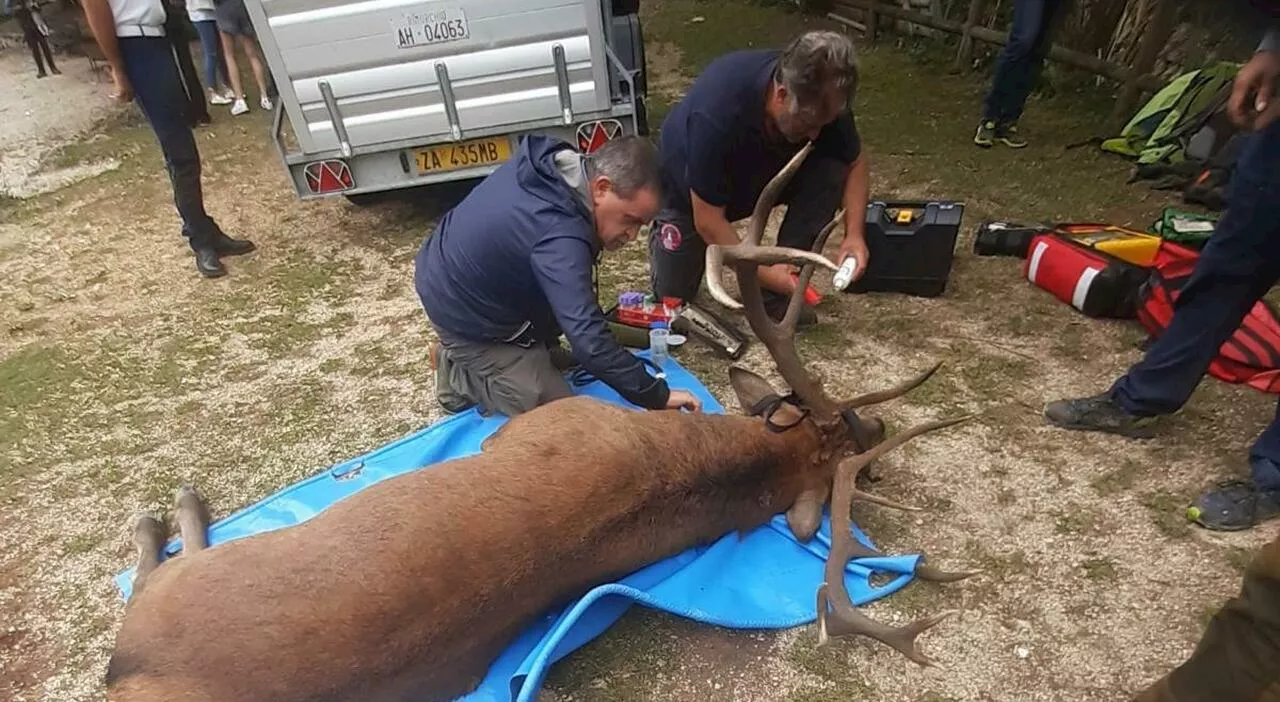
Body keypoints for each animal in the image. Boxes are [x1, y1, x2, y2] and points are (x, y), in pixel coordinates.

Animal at [107, 142, 977, 702]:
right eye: (858, 430)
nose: (878, 442)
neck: (711, 465)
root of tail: (136, 663)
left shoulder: (535, 425)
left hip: (185, 588)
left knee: (152, 573)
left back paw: (171, 508)